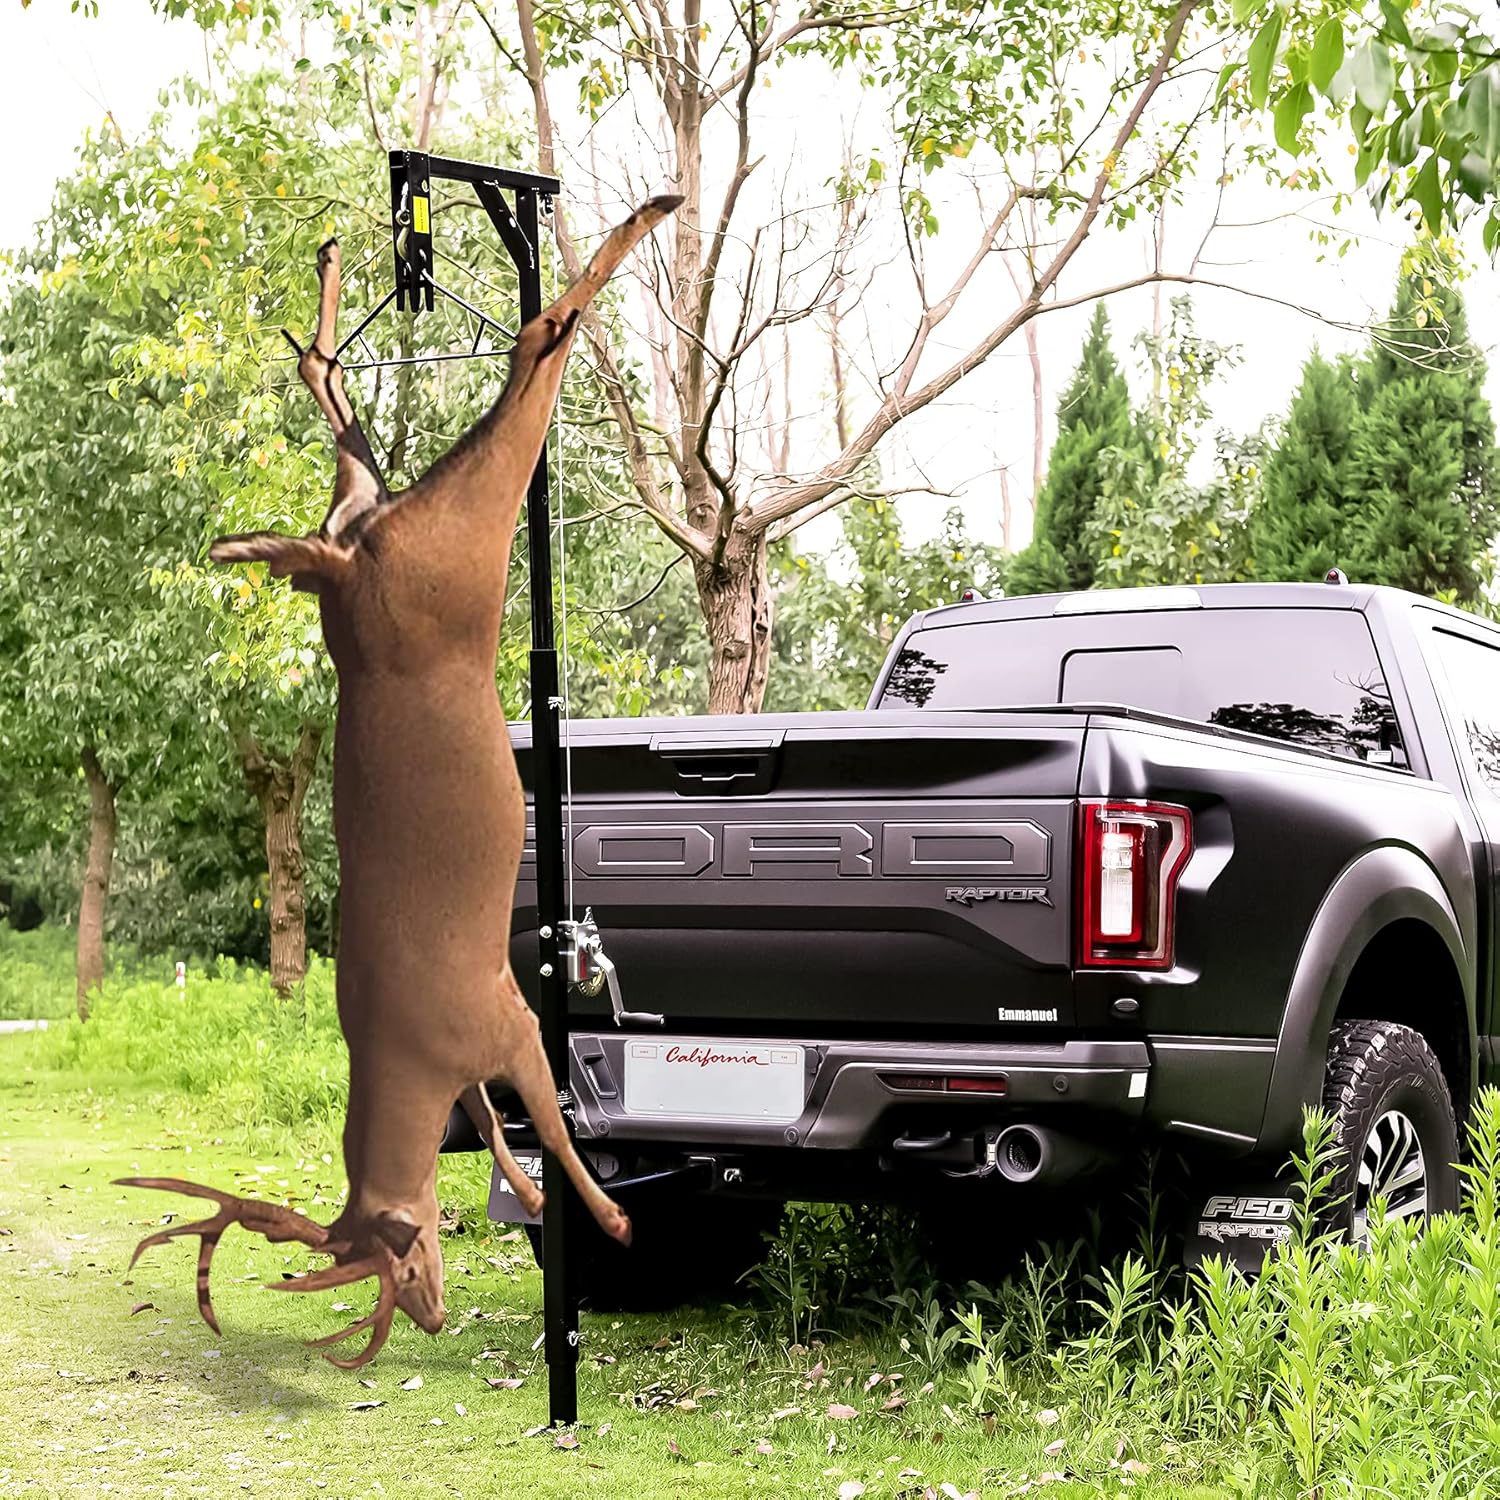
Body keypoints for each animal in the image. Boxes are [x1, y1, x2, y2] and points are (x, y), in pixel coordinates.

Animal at [116, 194, 681, 1368]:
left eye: (373, 1255)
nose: (423, 1310)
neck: (406, 1050)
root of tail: (349, 570)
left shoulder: (503, 1017)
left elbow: (553, 1123)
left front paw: (611, 1220)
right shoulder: (485, 1036)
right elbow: (508, 1132)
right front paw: (546, 1203)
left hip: (447, 550)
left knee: (532, 339)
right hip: (411, 540)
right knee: (368, 428)